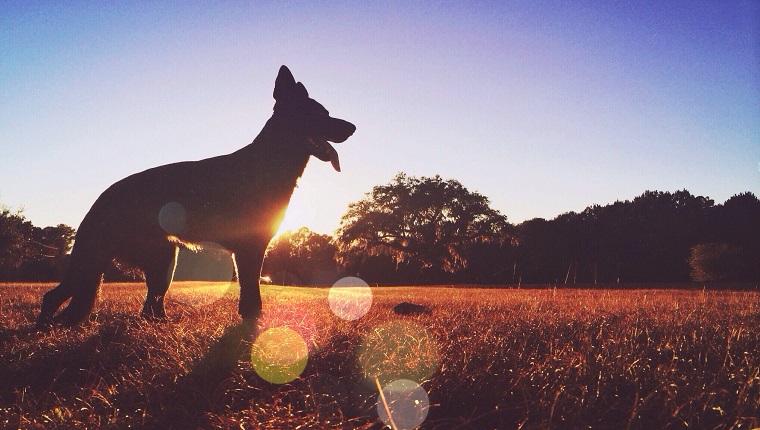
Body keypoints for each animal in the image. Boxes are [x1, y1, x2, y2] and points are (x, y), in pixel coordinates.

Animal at [40, 65, 360, 324]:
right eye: (319, 115)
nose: (354, 127)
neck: (269, 162)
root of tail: (99, 202)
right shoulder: (249, 248)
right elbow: (251, 292)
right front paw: (252, 325)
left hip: (155, 261)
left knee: (146, 308)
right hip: (145, 259)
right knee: (58, 298)